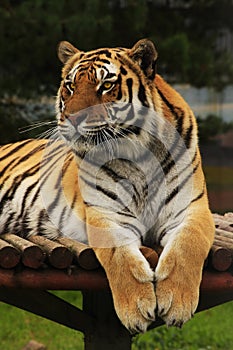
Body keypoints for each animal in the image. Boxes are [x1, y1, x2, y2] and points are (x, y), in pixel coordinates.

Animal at [0, 39, 215, 334]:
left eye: (106, 85)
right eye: (70, 86)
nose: (71, 118)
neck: (140, 156)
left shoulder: (191, 210)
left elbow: (187, 247)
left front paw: (177, 303)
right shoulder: (106, 214)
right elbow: (120, 258)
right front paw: (136, 308)